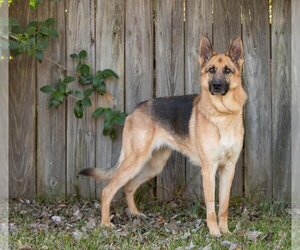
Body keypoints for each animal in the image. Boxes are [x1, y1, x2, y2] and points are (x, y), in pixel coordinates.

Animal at [78, 36, 247, 236]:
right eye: (211, 70)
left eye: (227, 70)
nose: (216, 86)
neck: (222, 114)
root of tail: (135, 110)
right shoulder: (209, 169)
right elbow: (212, 207)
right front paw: (214, 232)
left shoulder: (228, 169)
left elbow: (224, 206)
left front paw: (225, 231)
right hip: (135, 161)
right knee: (107, 190)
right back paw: (105, 224)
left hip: (153, 166)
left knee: (128, 187)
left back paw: (135, 213)